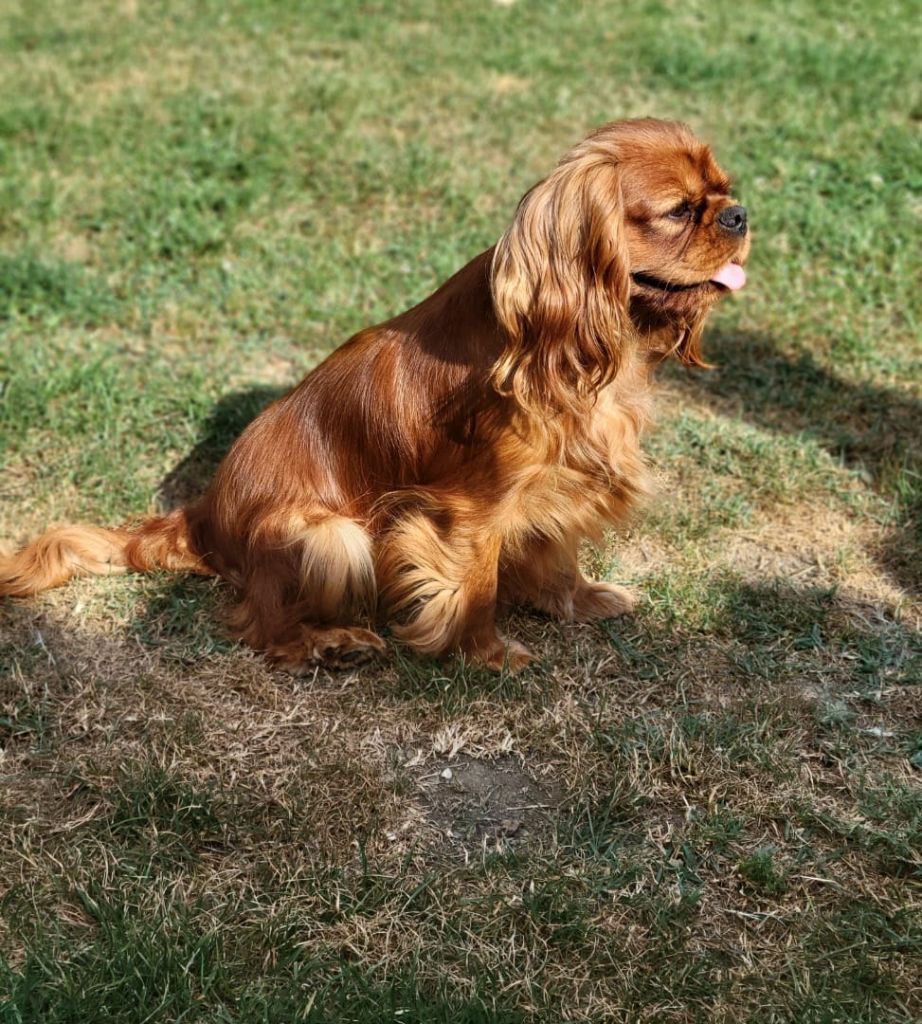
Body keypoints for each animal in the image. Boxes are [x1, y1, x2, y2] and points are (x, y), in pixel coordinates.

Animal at [0, 117, 749, 671]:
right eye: (678, 211)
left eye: (724, 189)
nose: (739, 215)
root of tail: (201, 516)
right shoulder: (470, 508)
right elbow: (476, 586)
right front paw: (488, 655)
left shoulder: (564, 478)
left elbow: (557, 553)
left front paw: (581, 599)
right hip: (331, 538)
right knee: (258, 627)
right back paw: (328, 645)